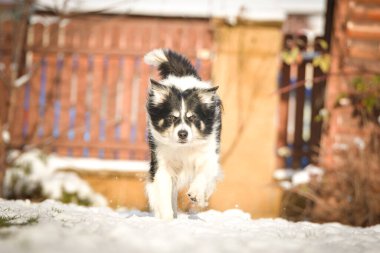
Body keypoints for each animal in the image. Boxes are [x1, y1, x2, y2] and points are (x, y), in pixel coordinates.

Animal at [145, 49, 223, 219]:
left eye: (192, 117)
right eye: (171, 118)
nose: (182, 134)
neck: (184, 148)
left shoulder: (208, 154)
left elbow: (203, 173)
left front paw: (195, 193)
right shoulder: (161, 162)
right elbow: (164, 191)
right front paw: (167, 217)